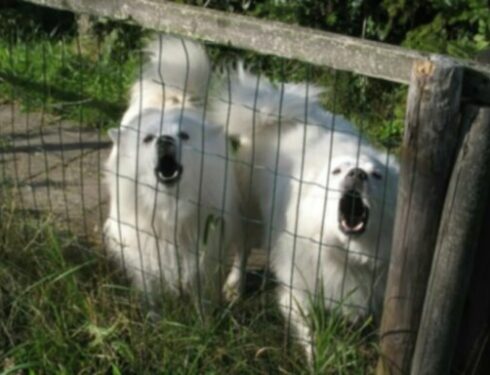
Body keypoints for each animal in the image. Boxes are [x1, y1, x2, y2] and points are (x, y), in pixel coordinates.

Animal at [102, 36, 244, 316]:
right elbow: (150, 292)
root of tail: (174, 97)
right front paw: (153, 318)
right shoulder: (144, 249)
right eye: (148, 139)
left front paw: (204, 320)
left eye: (184, 136)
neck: (170, 205)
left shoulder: (205, 250)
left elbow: (202, 293)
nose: (165, 141)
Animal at [211, 67, 398, 362]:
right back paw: (233, 286)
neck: (345, 251)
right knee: (242, 249)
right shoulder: (299, 292)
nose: (357, 174)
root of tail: (271, 117)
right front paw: (319, 359)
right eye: (337, 171)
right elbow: (313, 334)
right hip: (249, 212)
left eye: (377, 175)